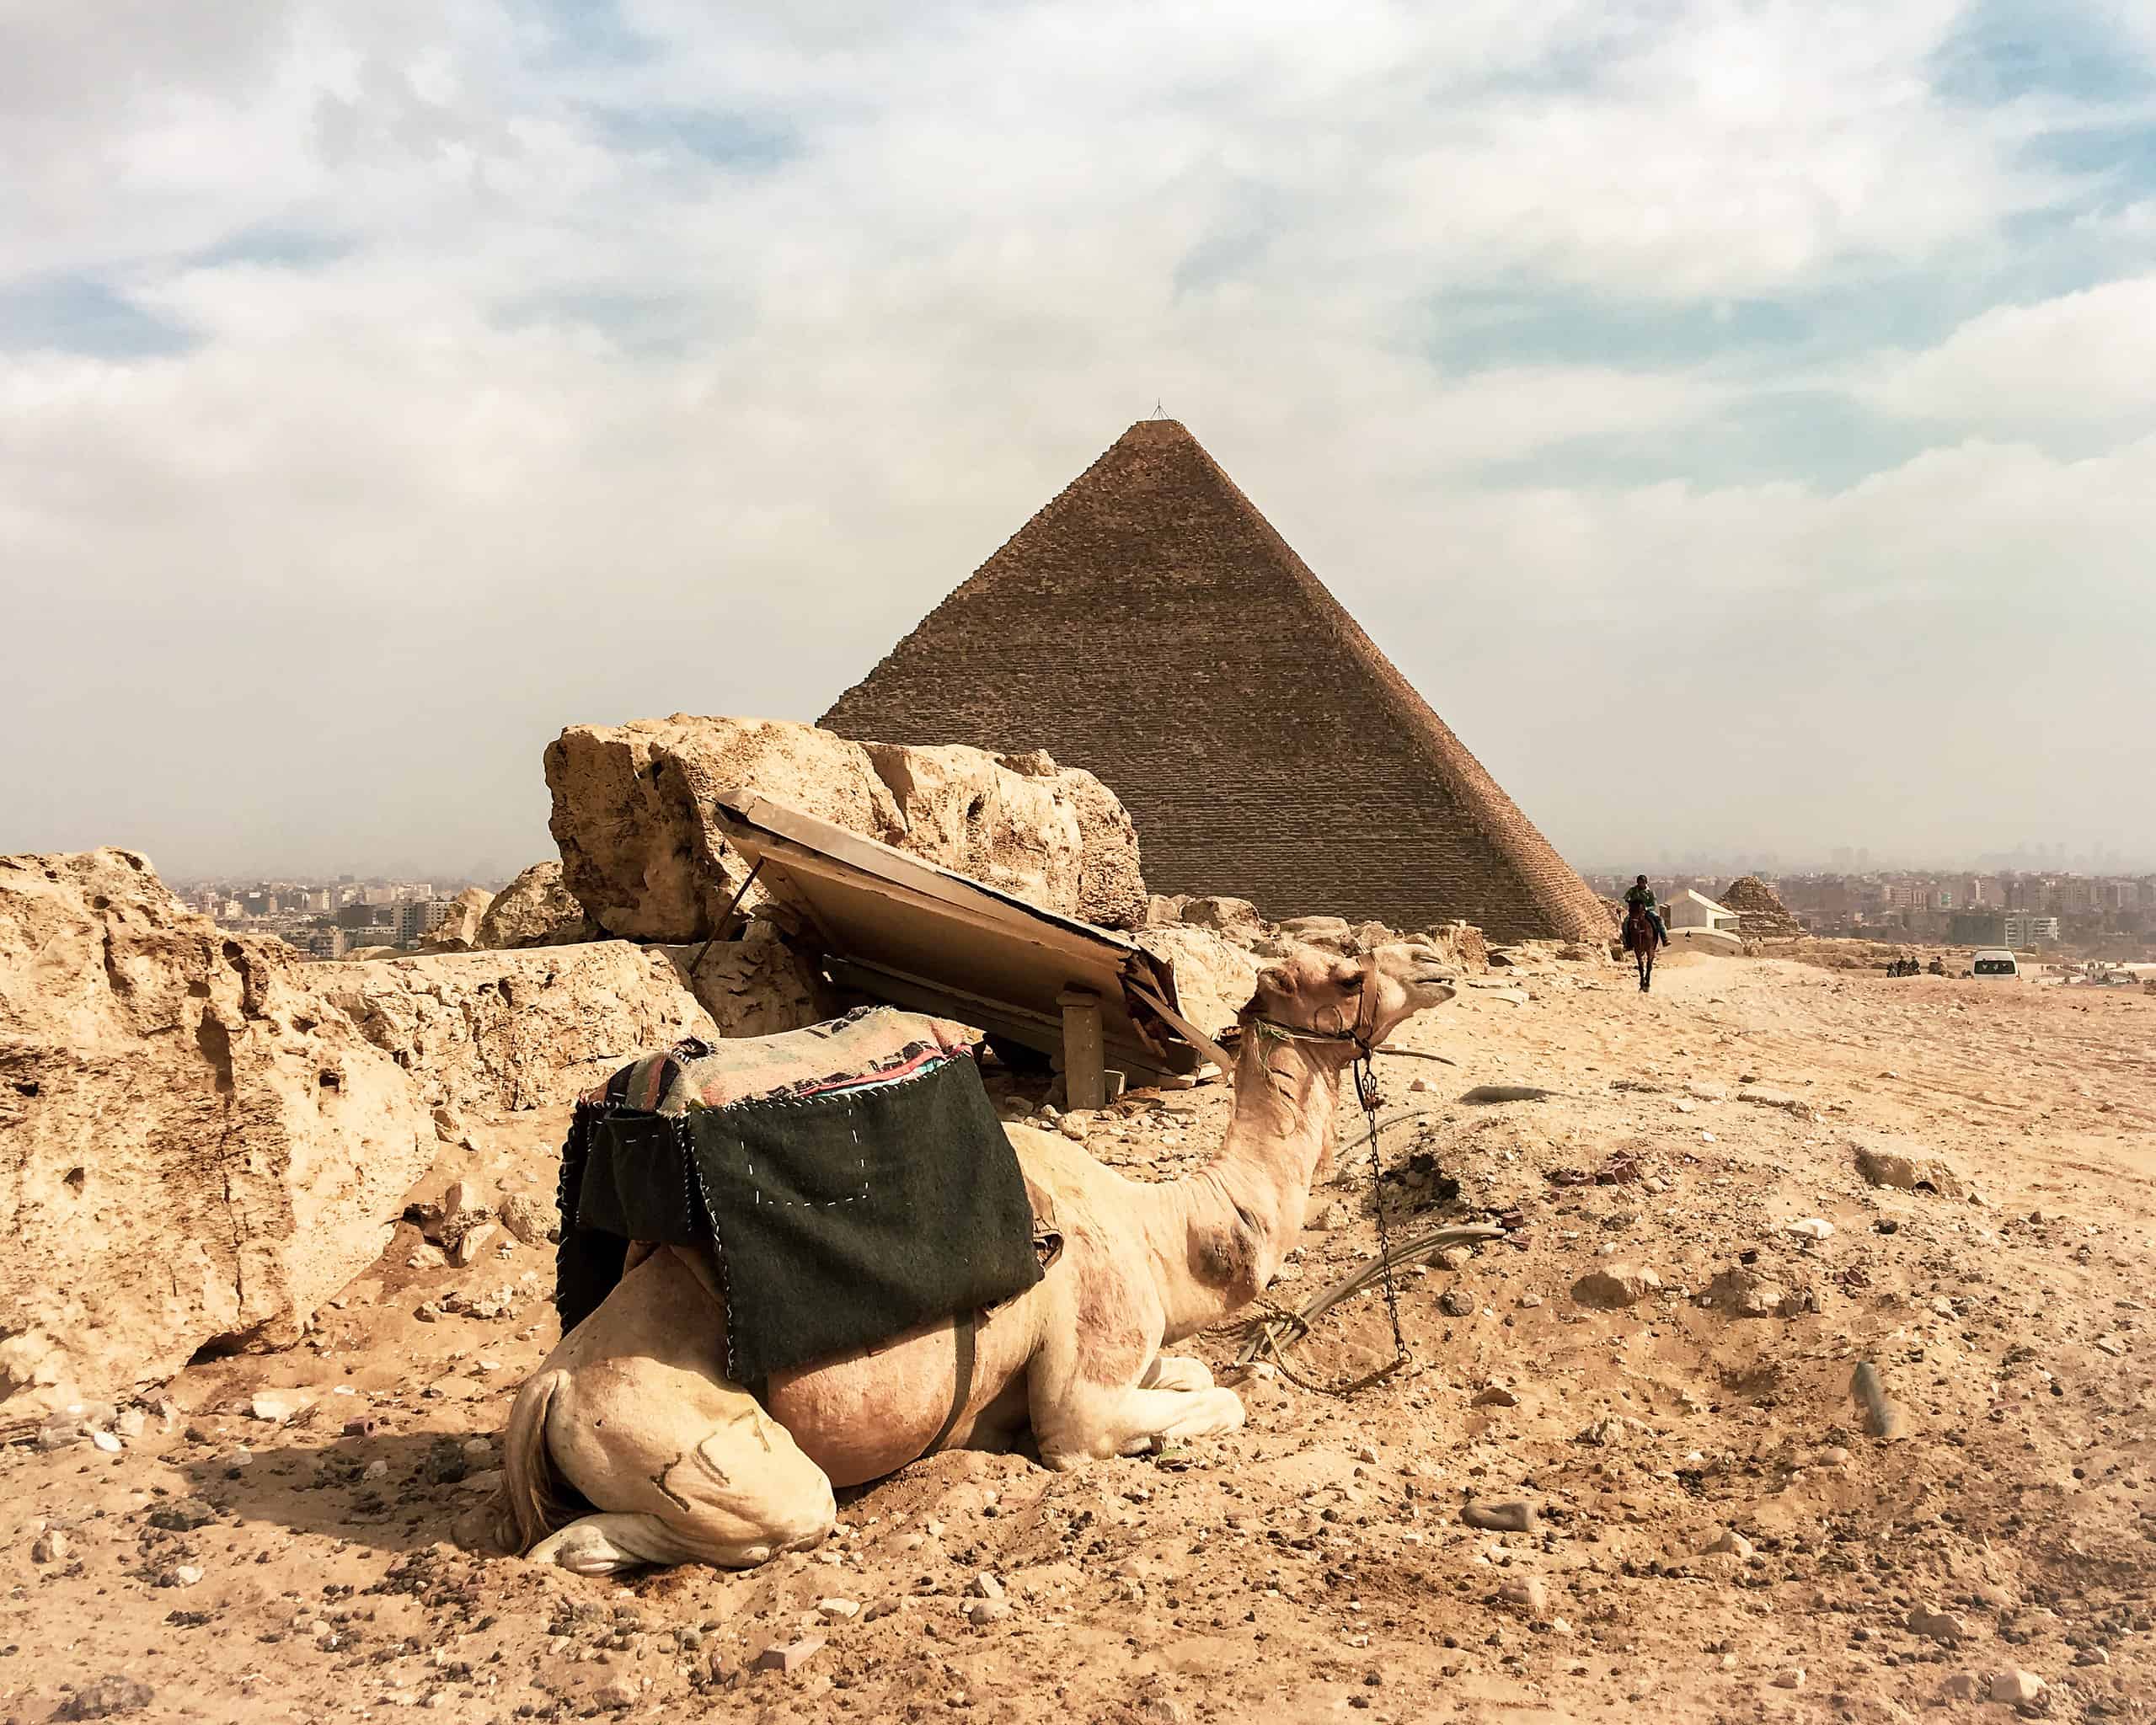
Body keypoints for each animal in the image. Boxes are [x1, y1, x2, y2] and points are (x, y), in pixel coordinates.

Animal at [494, 936, 1457, 1569]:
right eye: (1349, 972)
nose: (1439, 965)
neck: (1162, 1230)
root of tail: (548, 1386)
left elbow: (1195, 1374)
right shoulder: (1085, 1390)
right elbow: (1194, 1407)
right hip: (682, 1440)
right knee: (754, 1515)